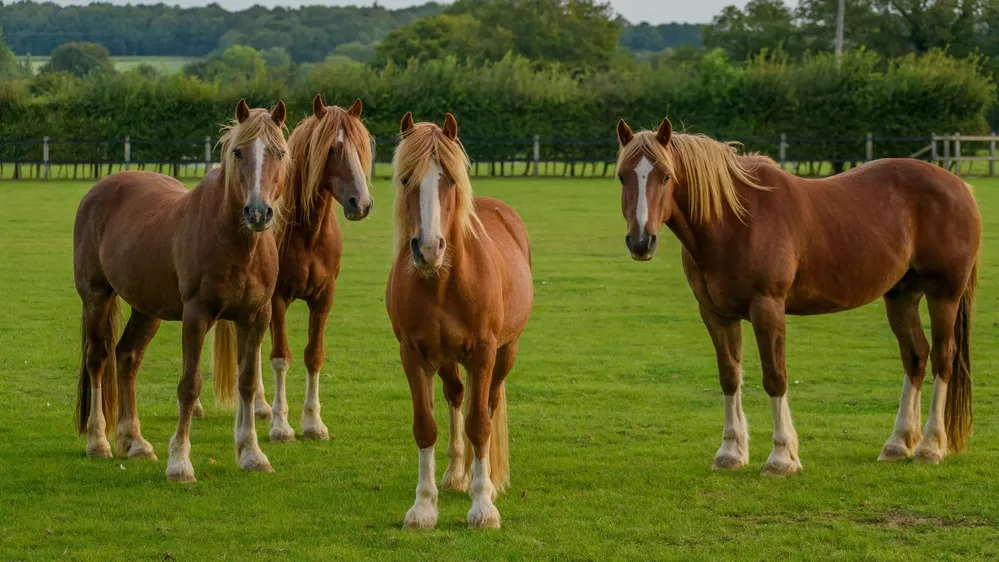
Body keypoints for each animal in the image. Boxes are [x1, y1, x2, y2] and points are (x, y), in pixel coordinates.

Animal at [73, 99, 290, 483]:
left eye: (279, 152)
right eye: (238, 152)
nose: (258, 212)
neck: (235, 243)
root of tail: (98, 190)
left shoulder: (255, 317)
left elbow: (247, 383)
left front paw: (252, 454)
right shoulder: (196, 315)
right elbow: (189, 385)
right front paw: (180, 462)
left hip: (147, 309)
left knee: (127, 357)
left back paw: (135, 441)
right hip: (95, 299)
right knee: (98, 359)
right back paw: (98, 441)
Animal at [210, 94, 374, 443]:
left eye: (361, 147)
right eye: (333, 148)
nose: (361, 203)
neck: (307, 234)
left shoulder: (323, 299)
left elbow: (314, 355)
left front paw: (313, 422)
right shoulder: (278, 300)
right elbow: (280, 357)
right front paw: (281, 425)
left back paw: (258, 406)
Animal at [386, 112, 534, 529]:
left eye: (449, 179)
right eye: (406, 178)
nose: (428, 249)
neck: (442, 283)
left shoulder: (483, 352)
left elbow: (480, 423)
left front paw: (483, 507)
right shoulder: (413, 354)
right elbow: (425, 426)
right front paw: (423, 507)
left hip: (505, 352)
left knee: (489, 402)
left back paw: (485, 481)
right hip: (447, 358)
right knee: (455, 396)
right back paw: (455, 473)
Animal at [614, 117, 980, 476]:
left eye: (666, 175)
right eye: (622, 176)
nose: (641, 241)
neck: (734, 220)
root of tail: (960, 187)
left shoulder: (767, 308)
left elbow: (775, 377)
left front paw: (781, 457)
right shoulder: (717, 314)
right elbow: (729, 377)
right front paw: (731, 452)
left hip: (944, 294)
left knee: (943, 358)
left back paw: (930, 447)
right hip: (902, 295)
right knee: (915, 356)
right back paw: (898, 444)